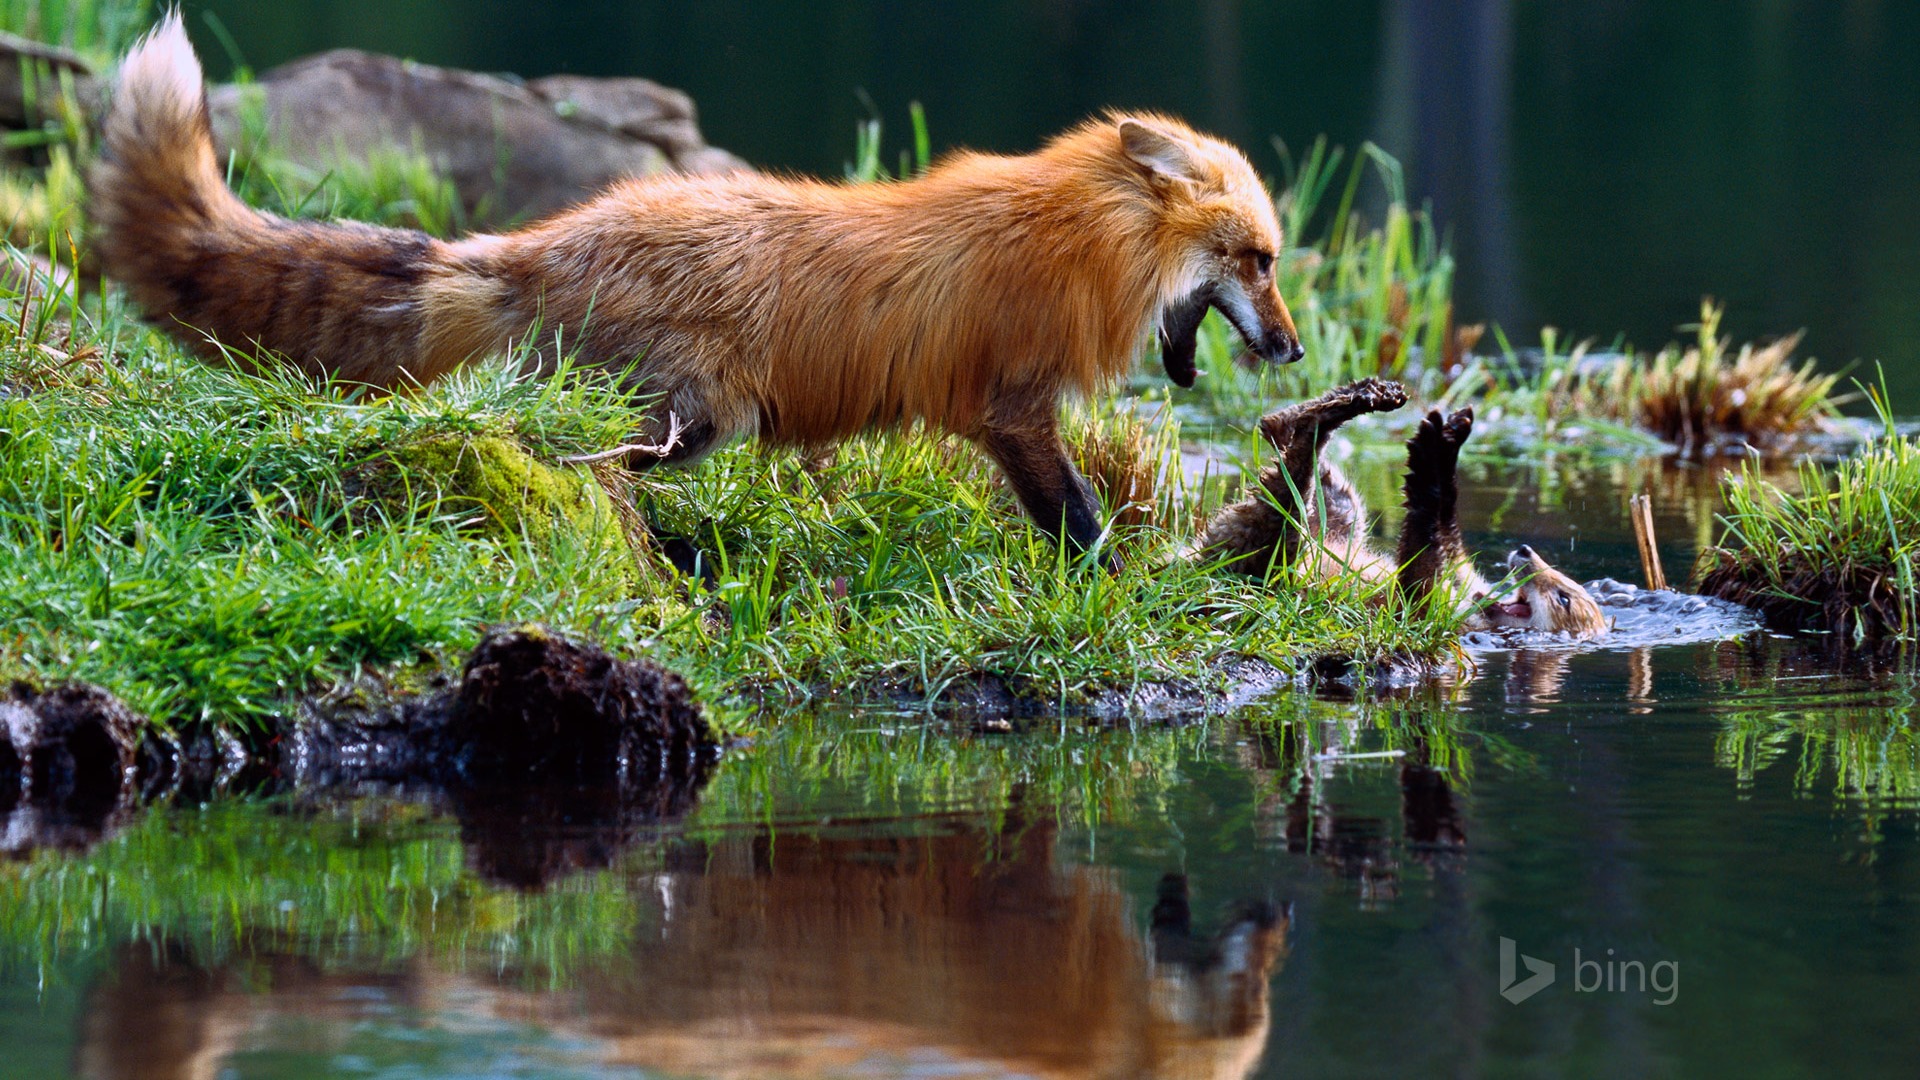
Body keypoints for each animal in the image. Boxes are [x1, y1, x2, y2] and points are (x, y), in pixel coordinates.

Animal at [90, 14, 1305, 564]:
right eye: (1260, 259)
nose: (1295, 353)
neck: (1082, 240)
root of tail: (542, 242)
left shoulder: (1007, 415)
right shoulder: (1012, 408)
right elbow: (1081, 520)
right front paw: (1116, 581)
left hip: (687, 422)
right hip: (687, 419)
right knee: (574, 459)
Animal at [1198, 376, 1605, 634]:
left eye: (1563, 598)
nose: (1525, 552)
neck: (1476, 605)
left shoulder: (1425, 610)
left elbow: (1418, 566)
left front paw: (1431, 458)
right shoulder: (1461, 577)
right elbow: (1448, 541)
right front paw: (1447, 441)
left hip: (1261, 553)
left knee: (1284, 501)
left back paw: (1319, 421)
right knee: (1329, 500)